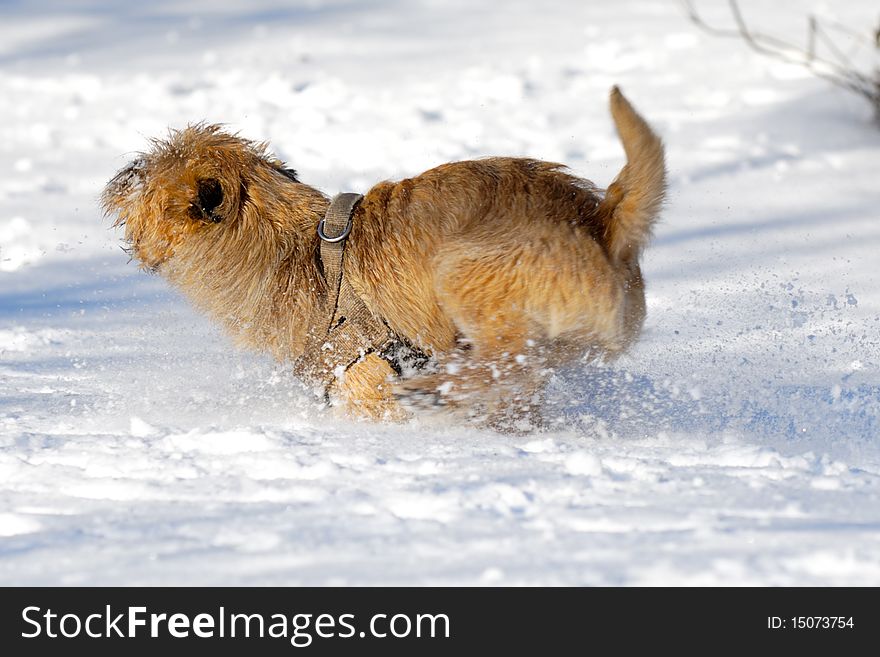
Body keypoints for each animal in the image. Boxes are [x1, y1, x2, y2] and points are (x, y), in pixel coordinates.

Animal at [103, 87, 664, 428]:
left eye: (150, 173)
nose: (124, 170)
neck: (295, 251)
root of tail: (601, 220)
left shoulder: (363, 380)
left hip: (463, 270)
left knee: (499, 357)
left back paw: (440, 385)